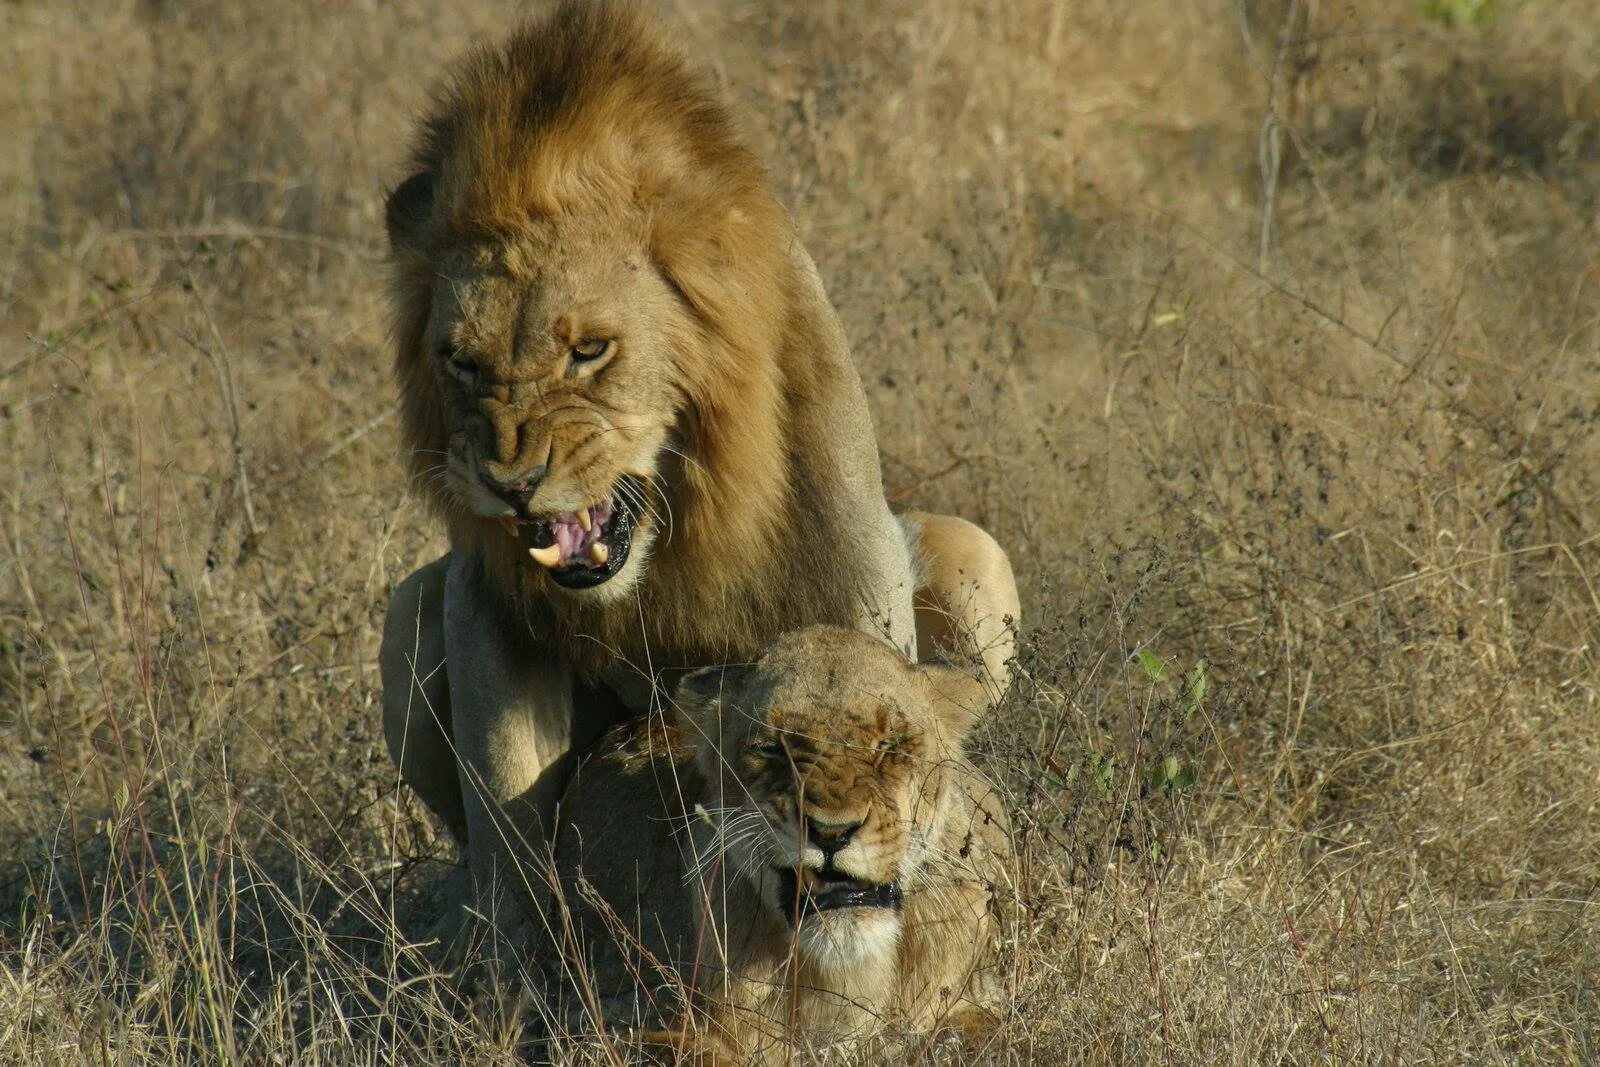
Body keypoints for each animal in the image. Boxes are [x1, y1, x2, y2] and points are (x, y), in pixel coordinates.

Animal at [376, 0, 1017, 953]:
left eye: (590, 349)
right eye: (460, 360)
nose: (509, 481)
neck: (674, 533)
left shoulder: (849, 594)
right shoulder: (490, 607)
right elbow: (505, 809)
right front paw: (511, 966)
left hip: (976, 559)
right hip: (408, 618)